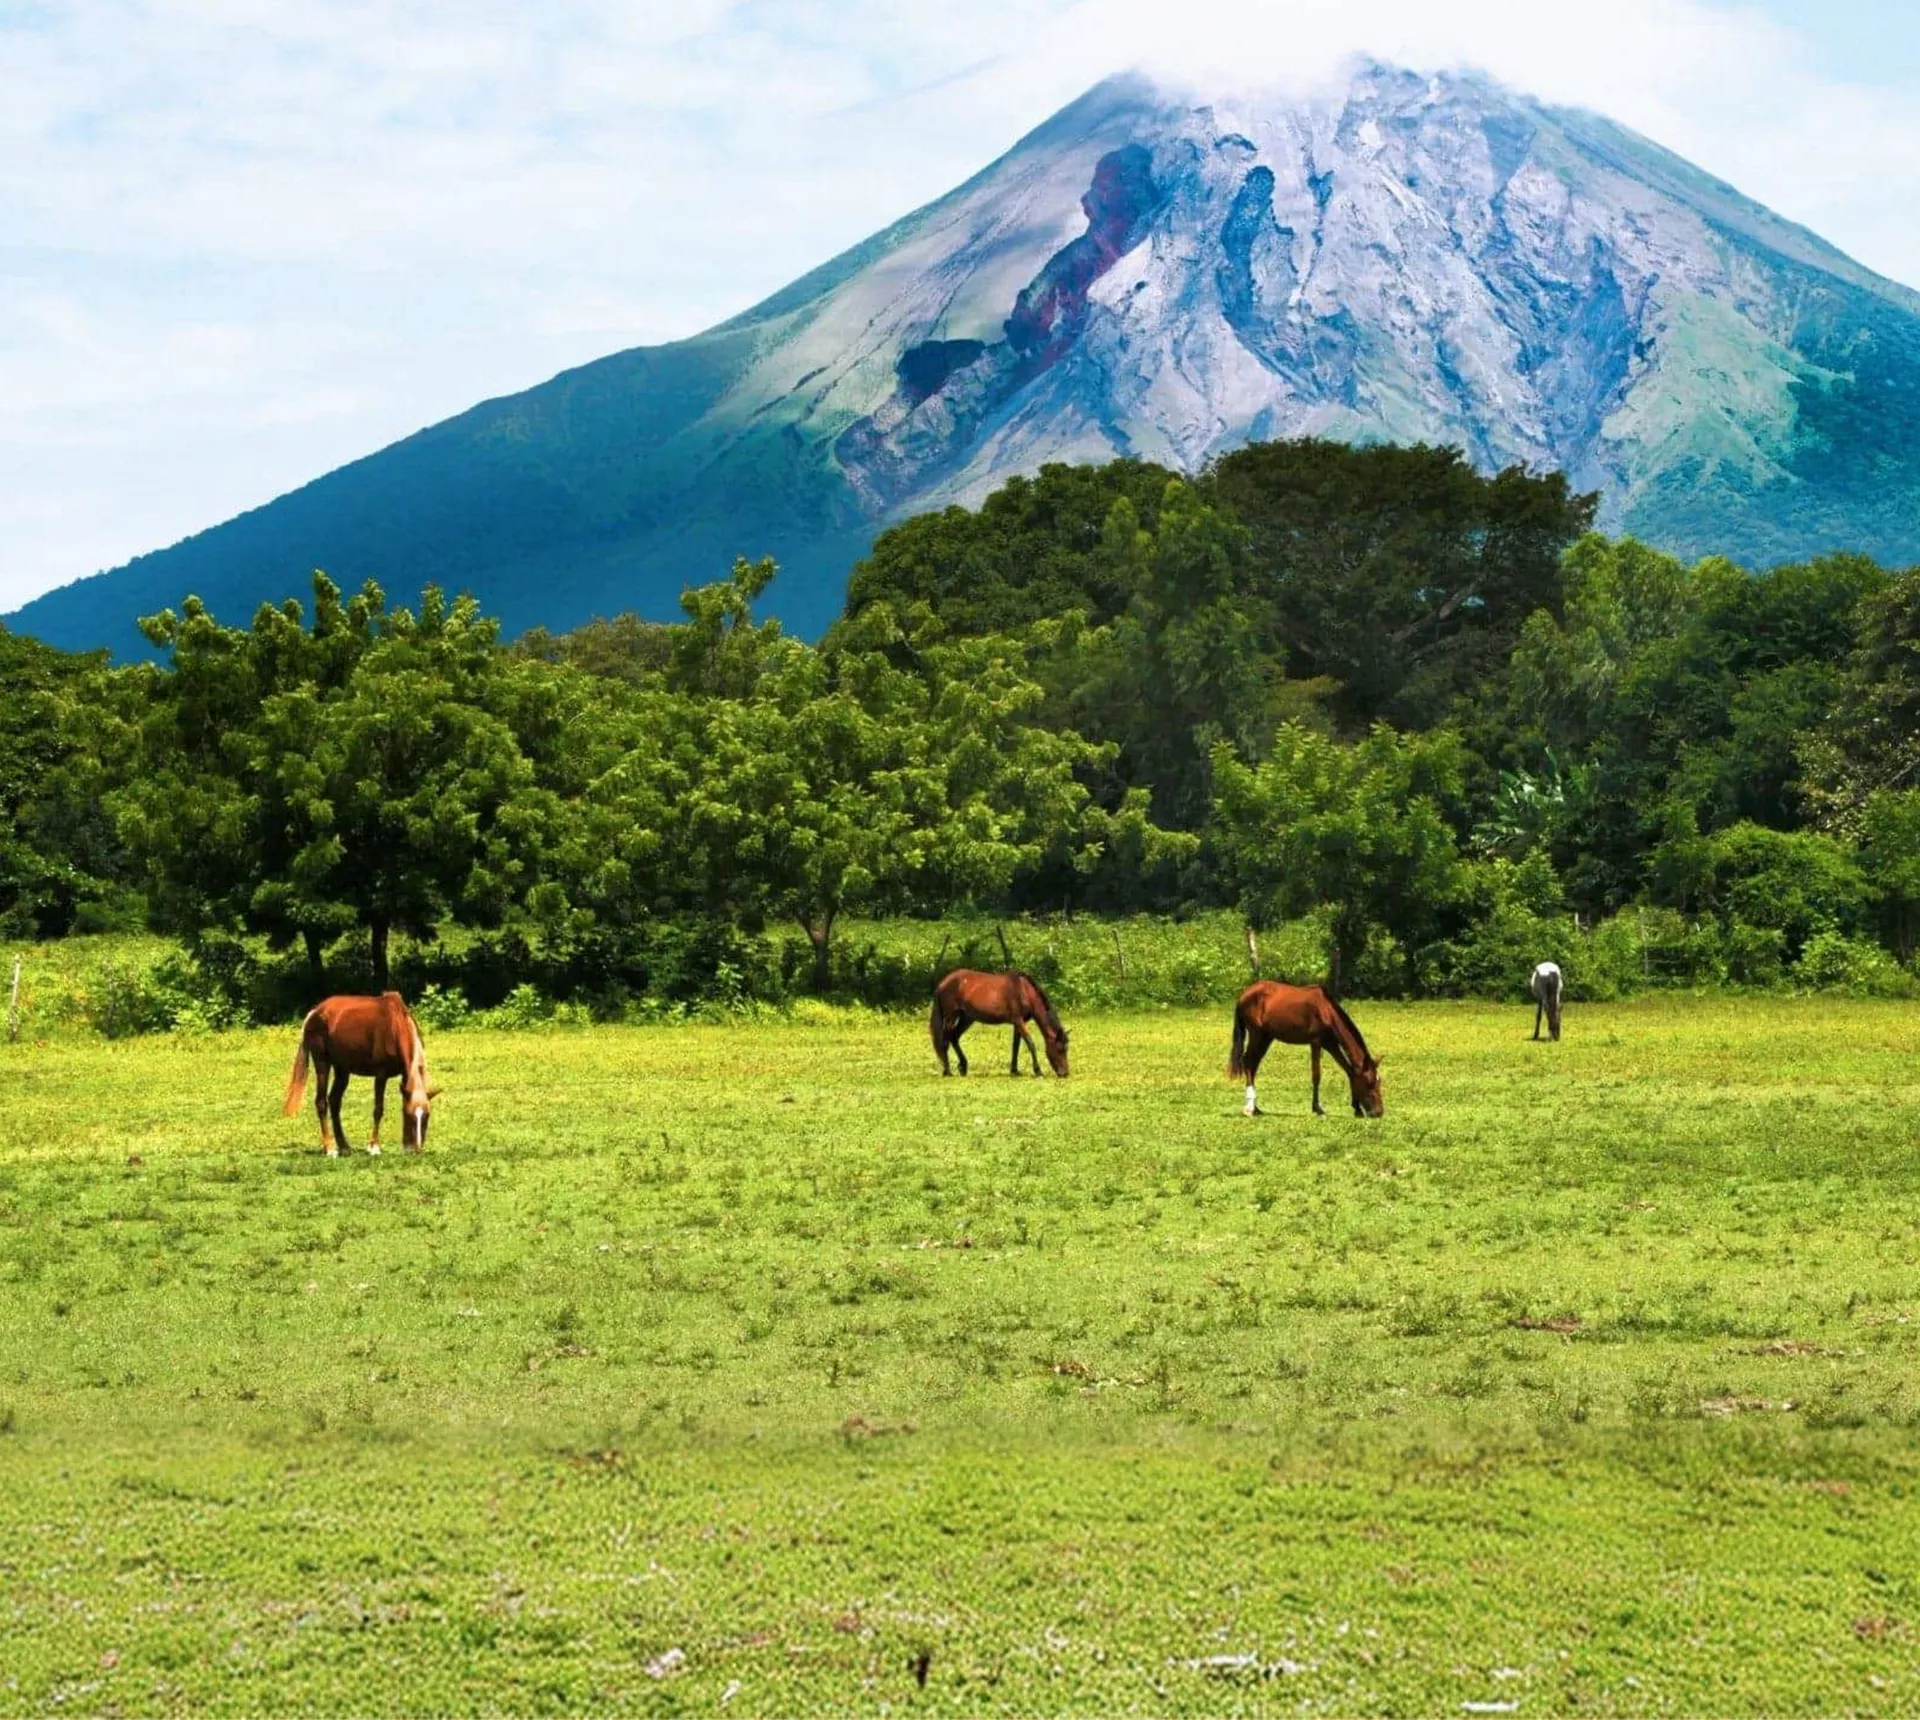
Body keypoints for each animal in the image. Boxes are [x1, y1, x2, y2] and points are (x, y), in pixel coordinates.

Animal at [283, 991, 440, 1155]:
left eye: (427, 1116)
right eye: (409, 1115)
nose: (415, 1149)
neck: (395, 1026)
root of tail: (315, 1012)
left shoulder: (404, 1077)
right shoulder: (381, 1075)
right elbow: (378, 1109)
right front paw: (374, 1147)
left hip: (342, 1069)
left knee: (334, 1101)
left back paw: (344, 1146)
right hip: (322, 1064)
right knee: (321, 1102)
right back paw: (330, 1148)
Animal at [931, 969, 1069, 1077]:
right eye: (1060, 1049)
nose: (1065, 1073)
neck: (1024, 991)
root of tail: (943, 983)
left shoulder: (1018, 1023)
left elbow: (1016, 1046)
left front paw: (1014, 1070)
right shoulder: (1019, 1021)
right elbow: (1030, 1044)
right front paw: (1038, 1071)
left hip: (967, 1018)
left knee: (954, 1037)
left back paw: (963, 1067)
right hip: (951, 1016)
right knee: (945, 1041)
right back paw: (947, 1071)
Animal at [1228, 980, 1383, 1118]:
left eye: (1379, 1081)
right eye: (1369, 1082)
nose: (1378, 1112)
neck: (1326, 1011)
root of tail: (1244, 994)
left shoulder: (1331, 1044)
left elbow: (1350, 1072)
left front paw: (1357, 1109)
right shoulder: (1316, 1042)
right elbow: (1316, 1075)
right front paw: (1318, 1108)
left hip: (1266, 1037)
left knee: (1253, 1064)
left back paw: (1256, 1108)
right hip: (1256, 1034)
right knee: (1248, 1062)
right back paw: (1249, 1108)